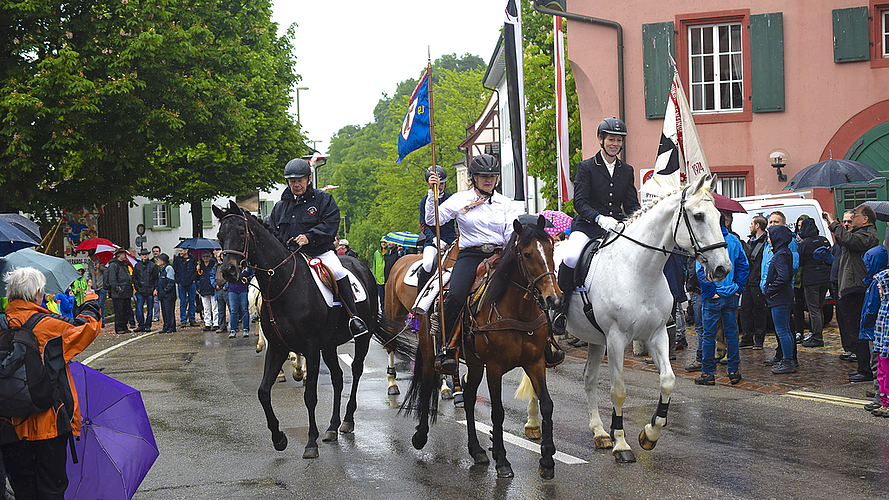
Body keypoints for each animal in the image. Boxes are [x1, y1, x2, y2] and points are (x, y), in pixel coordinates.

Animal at [216, 201, 382, 458]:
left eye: (242, 232)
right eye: (219, 236)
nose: (228, 272)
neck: (284, 283)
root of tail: (360, 265)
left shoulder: (311, 348)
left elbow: (310, 396)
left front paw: (311, 442)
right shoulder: (278, 346)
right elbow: (263, 392)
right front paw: (278, 438)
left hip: (362, 338)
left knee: (355, 371)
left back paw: (347, 420)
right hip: (329, 346)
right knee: (337, 378)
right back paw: (332, 427)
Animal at [396, 216, 560, 480]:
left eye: (551, 249)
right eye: (526, 254)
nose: (553, 298)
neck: (516, 310)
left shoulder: (535, 362)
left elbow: (546, 404)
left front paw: (546, 460)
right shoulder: (494, 367)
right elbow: (498, 412)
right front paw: (502, 460)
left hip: (473, 362)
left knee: (470, 396)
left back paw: (477, 450)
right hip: (431, 351)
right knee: (428, 382)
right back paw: (420, 436)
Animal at [516, 175, 724, 460]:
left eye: (719, 216)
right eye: (699, 216)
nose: (722, 268)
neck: (639, 269)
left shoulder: (657, 334)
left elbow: (668, 381)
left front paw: (649, 434)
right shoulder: (616, 339)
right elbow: (619, 391)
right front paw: (622, 443)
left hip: (595, 340)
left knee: (589, 379)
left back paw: (599, 432)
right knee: (536, 375)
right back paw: (533, 423)